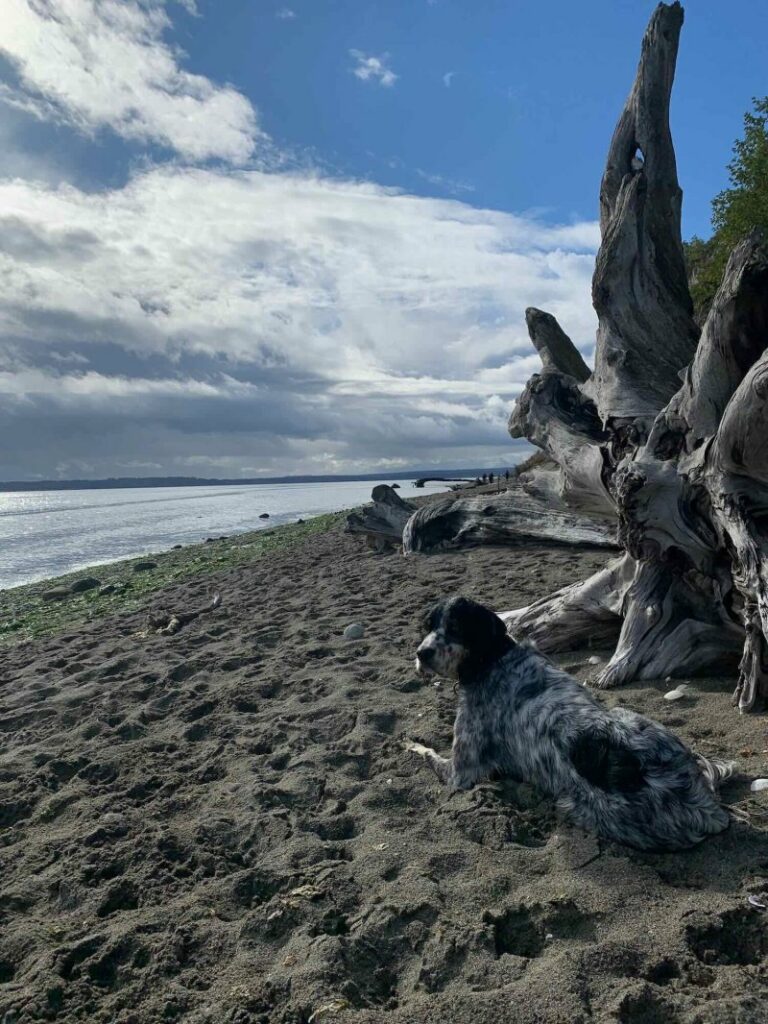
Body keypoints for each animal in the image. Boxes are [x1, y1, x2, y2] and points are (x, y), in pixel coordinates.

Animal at [409, 598, 741, 851]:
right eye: (428, 626)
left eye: (455, 628)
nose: (421, 653)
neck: (496, 658)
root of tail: (703, 807)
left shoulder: (460, 773)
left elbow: (425, 753)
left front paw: (412, 744)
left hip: (575, 804)